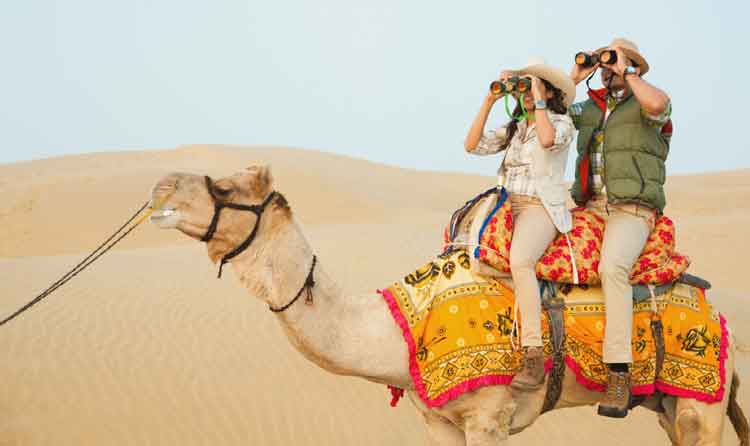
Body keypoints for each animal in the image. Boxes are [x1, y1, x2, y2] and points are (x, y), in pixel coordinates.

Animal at [149, 165, 748, 446]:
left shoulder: (489, 417)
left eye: (222, 187)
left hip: (702, 402)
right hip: (668, 405)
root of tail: (718, 317)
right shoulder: (438, 421)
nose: (161, 187)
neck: (400, 329)